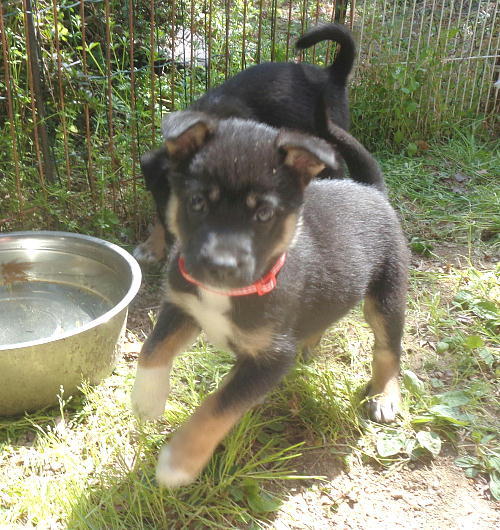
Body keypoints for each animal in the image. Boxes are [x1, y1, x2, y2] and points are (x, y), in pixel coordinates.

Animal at [131, 111, 409, 488]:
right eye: (198, 202)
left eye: (263, 213)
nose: (220, 266)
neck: (231, 293)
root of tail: (371, 190)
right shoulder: (182, 305)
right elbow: (152, 348)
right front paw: (146, 399)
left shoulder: (271, 359)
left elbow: (217, 405)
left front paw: (178, 462)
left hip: (387, 295)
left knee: (387, 349)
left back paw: (384, 396)